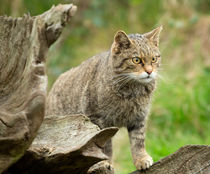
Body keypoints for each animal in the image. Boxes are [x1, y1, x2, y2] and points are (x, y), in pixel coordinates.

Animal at [47, 26, 162, 171]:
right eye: (136, 60)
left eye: (153, 59)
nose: (149, 71)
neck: (132, 91)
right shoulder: (99, 121)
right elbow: (104, 147)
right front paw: (103, 162)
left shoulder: (139, 118)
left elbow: (138, 140)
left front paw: (141, 159)